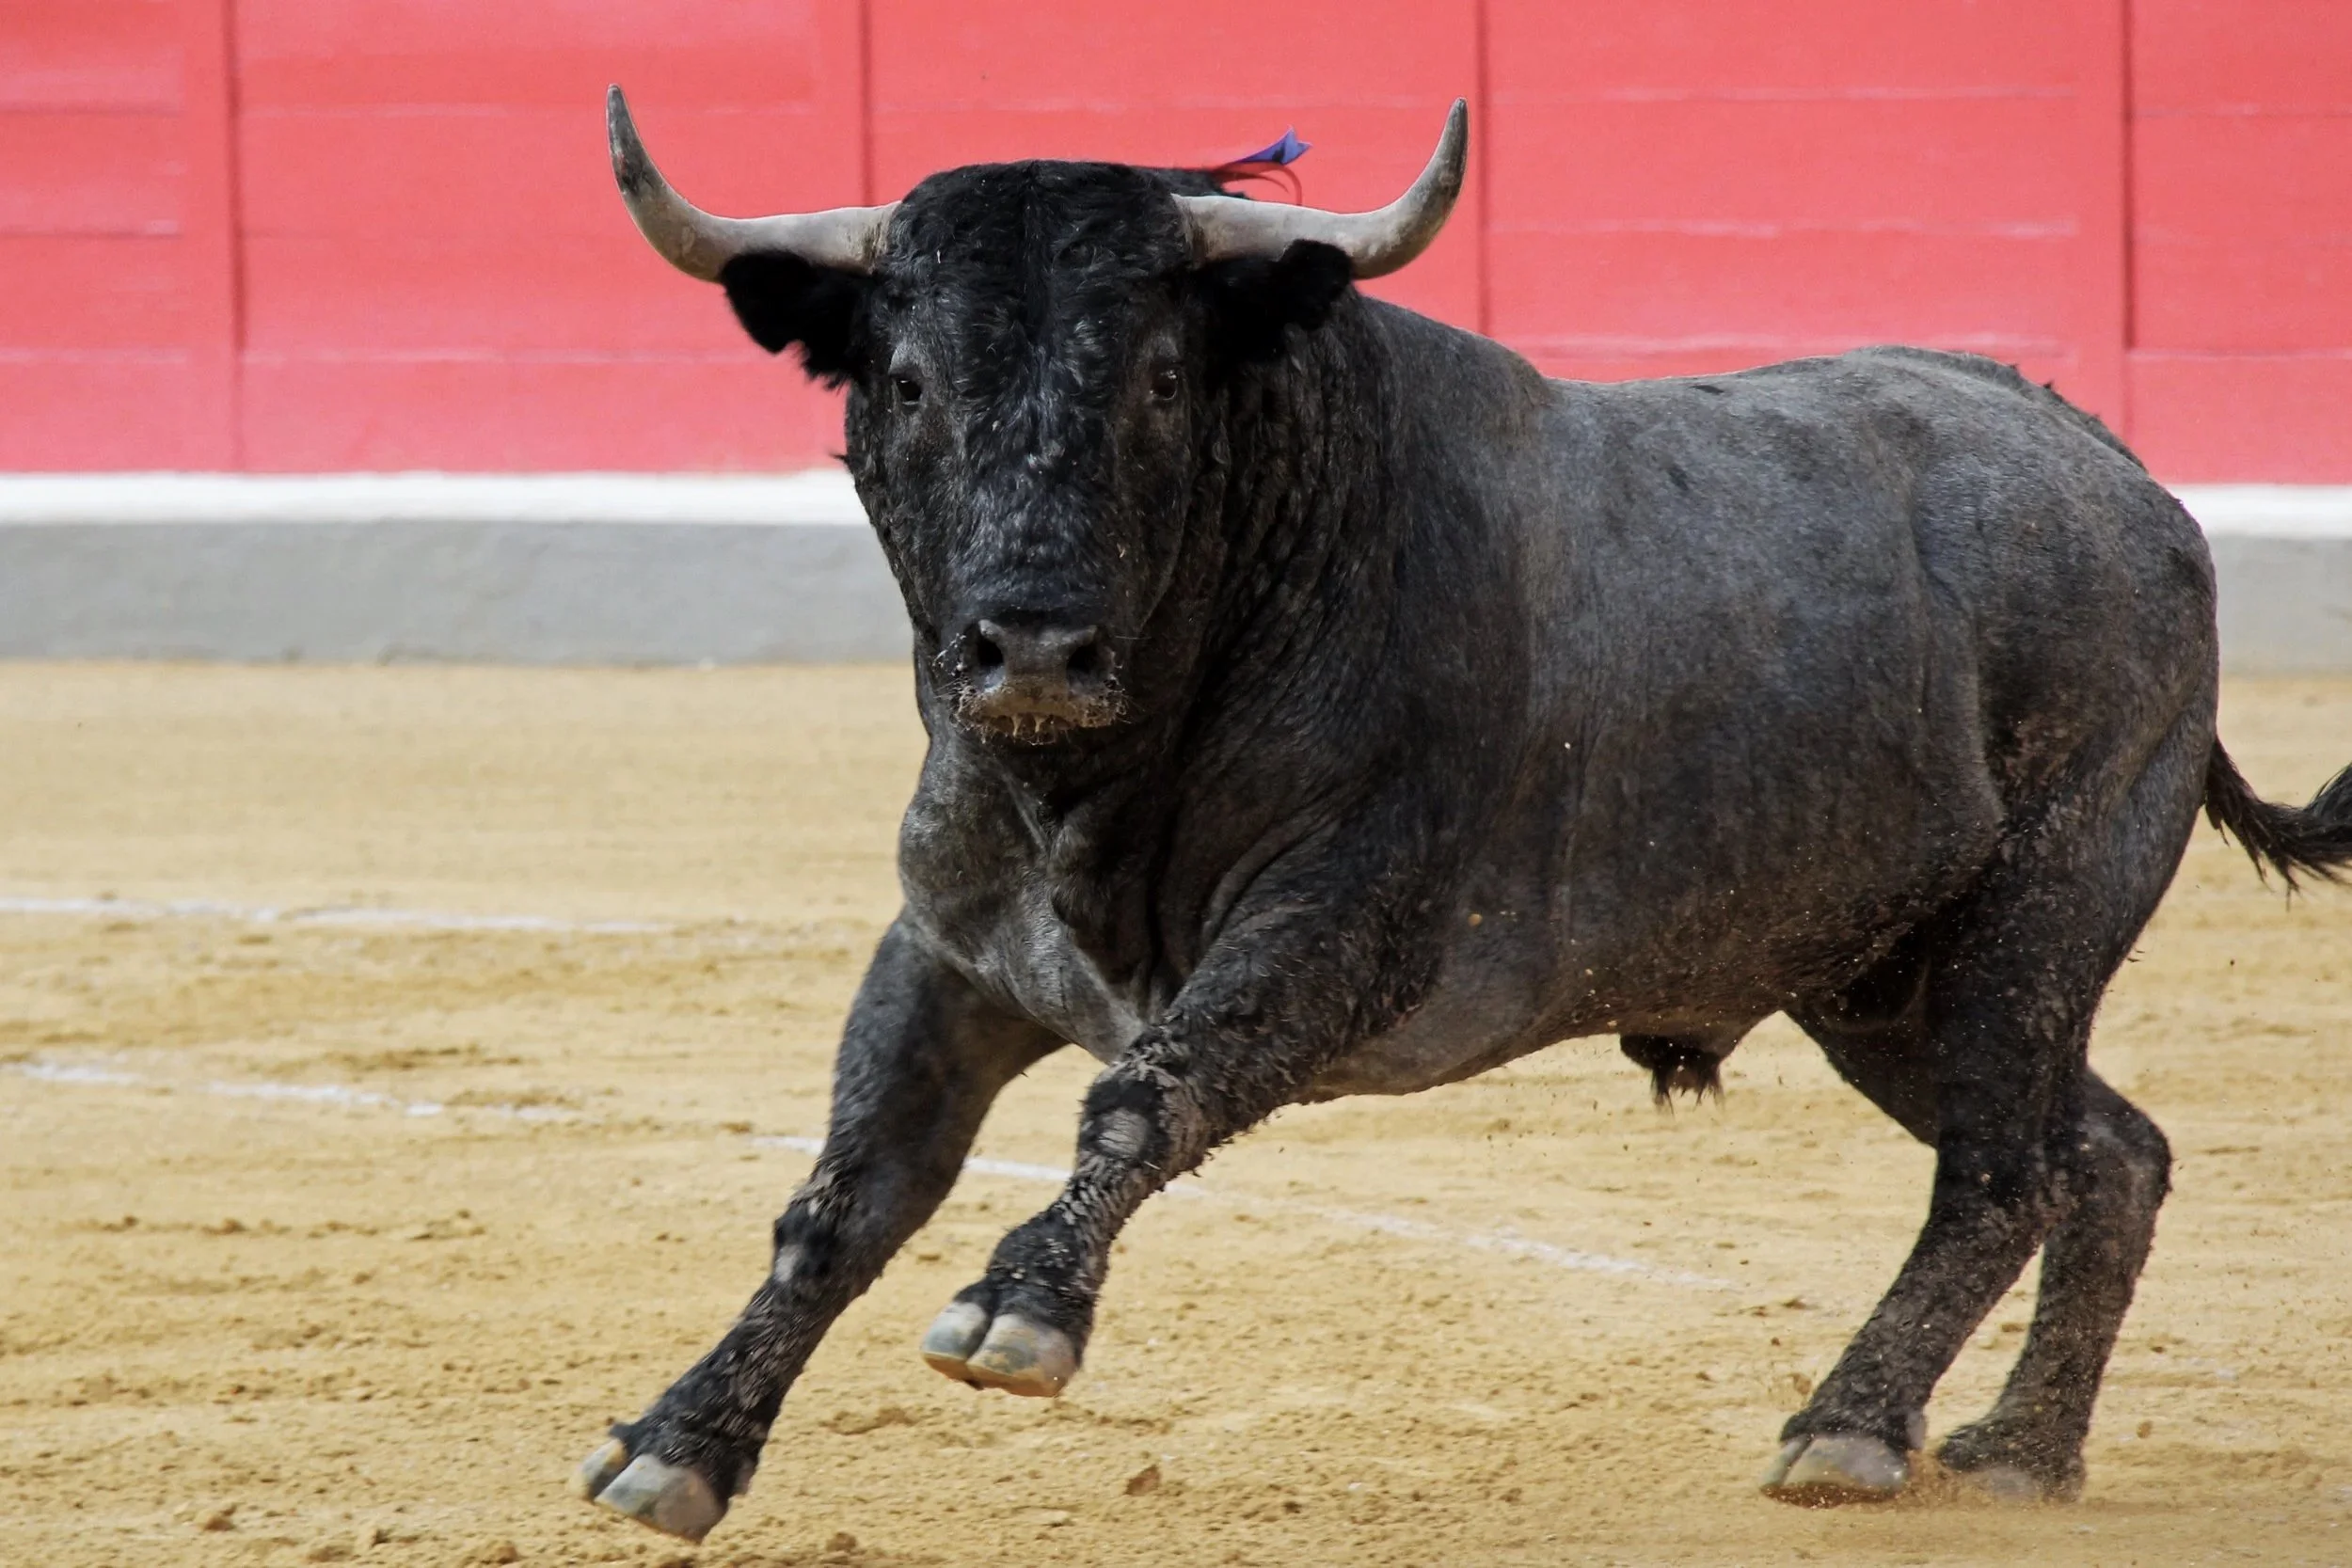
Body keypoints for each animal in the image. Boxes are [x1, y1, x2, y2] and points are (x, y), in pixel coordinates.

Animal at [575, 87, 2352, 1542]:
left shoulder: (1337, 928)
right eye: (910, 375)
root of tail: (2114, 464)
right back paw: (2017, 1448)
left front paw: (1021, 1315)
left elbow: (1144, 1096)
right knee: (2103, 1148)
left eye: (1161, 376)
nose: (1032, 645)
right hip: (1881, 982)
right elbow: (846, 1193)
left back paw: (1851, 1429)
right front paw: (677, 1442)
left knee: (2004, 1169)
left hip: (2035, 914)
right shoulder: (948, 950)